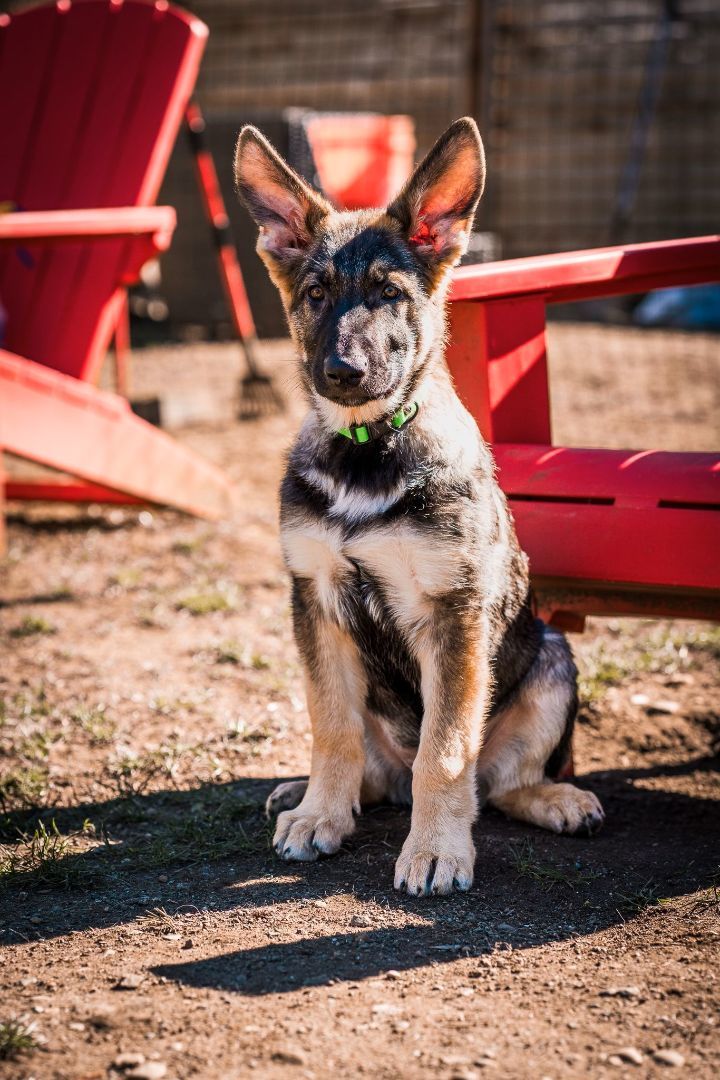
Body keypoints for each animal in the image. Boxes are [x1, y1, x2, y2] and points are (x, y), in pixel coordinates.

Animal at [235, 116, 604, 894]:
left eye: (389, 292)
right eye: (315, 293)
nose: (341, 371)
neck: (367, 451)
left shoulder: (453, 610)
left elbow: (446, 745)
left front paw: (435, 850)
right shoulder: (314, 598)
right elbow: (331, 725)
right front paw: (321, 814)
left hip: (553, 663)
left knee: (498, 782)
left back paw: (555, 798)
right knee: (369, 762)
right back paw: (308, 794)